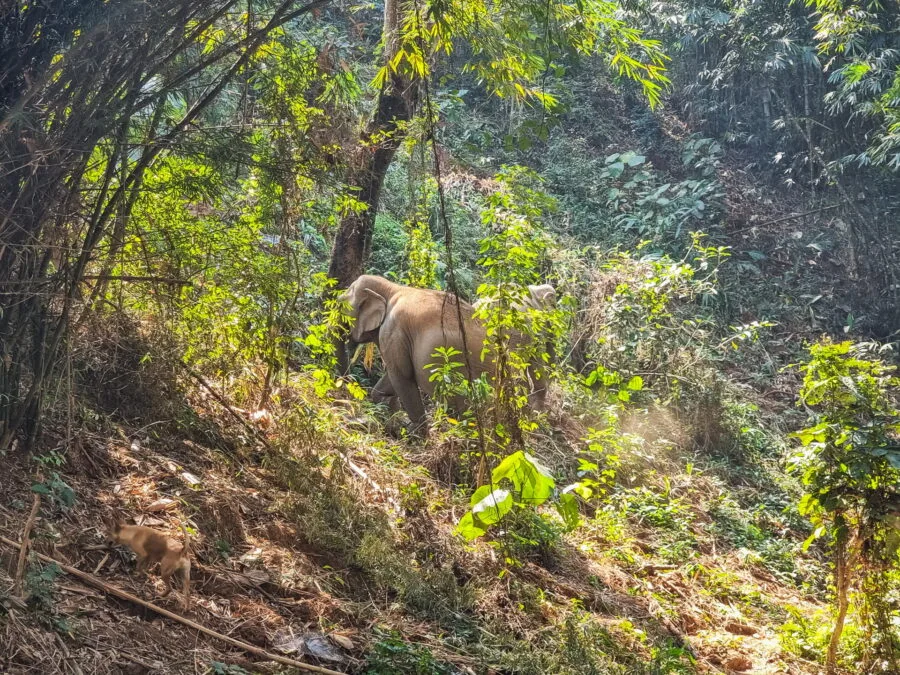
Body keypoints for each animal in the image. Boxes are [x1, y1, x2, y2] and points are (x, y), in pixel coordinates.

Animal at [340, 275, 556, 428]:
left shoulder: (394, 330)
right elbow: (397, 375)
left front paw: (415, 436)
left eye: (341, 306)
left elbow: (401, 375)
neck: (392, 288)